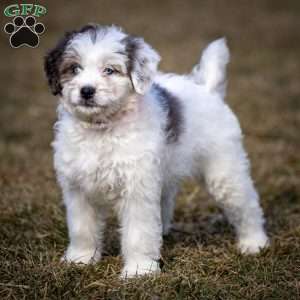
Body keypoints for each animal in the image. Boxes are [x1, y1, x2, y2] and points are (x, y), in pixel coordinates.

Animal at [44, 24, 270, 278]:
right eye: (74, 68)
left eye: (109, 70)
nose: (86, 91)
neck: (102, 129)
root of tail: (207, 89)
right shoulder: (78, 189)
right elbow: (82, 228)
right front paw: (80, 259)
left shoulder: (136, 188)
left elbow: (138, 233)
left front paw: (139, 271)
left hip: (225, 172)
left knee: (247, 205)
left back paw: (254, 243)